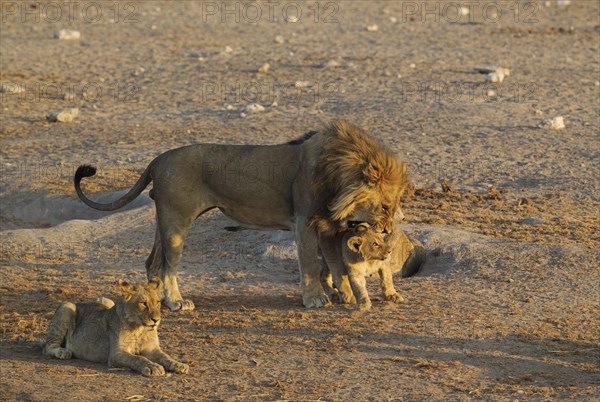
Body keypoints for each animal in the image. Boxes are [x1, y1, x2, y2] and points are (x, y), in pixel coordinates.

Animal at [43, 278, 188, 376]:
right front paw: (153, 367)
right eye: (143, 303)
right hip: (67, 306)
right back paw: (63, 352)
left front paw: (179, 364)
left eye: (157, 302)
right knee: (48, 347)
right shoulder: (116, 354)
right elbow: (137, 358)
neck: (140, 329)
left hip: (107, 301)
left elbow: (165, 356)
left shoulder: (151, 348)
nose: (156, 320)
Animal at [72, 121, 406, 310]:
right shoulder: (304, 220)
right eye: (385, 207)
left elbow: (334, 264)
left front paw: (343, 294)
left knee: (152, 263)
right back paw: (176, 302)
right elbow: (312, 264)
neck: (336, 173)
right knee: (167, 266)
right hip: (176, 221)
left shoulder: (328, 225)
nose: (389, 231)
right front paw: (315, 299)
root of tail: (158, 159)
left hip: (162, 220)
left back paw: (159, 302)